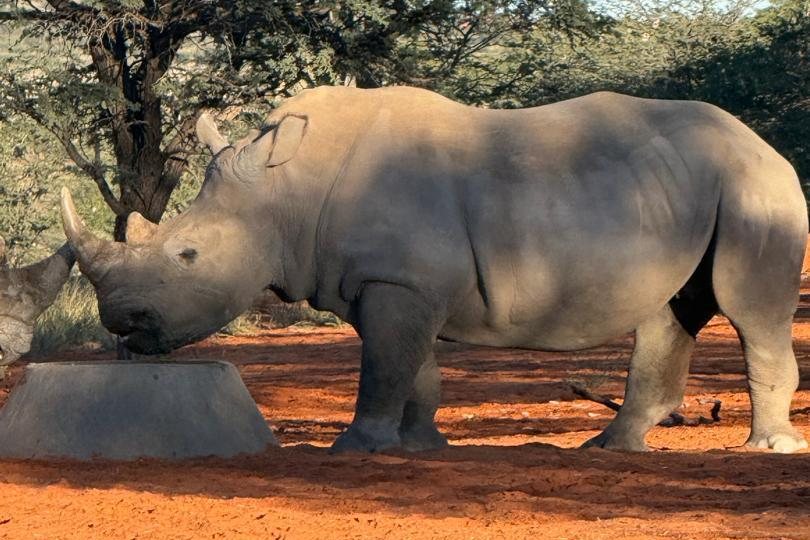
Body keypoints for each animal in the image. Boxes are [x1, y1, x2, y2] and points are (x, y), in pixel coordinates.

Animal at [60, 87, 808, 453]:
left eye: (187, 256)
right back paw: (610, 449)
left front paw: (355, 449)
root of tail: (764, 143)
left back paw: (766, 449)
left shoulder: (397, 282)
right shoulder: (397, 283)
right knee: (669, 310)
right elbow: (413, 369)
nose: (121, 324)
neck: (285, 192)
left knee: (752, 313)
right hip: (688, 188)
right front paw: (419, 446)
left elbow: (385, 366)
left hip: (756, 186)